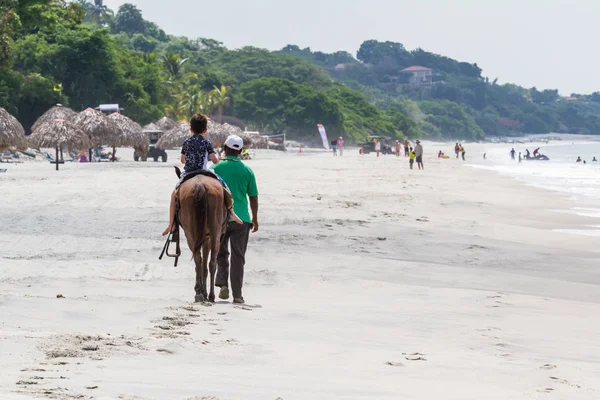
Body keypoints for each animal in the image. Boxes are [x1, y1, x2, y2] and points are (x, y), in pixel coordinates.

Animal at [178, 173, 227, 302]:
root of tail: (200, 185)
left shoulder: (205, 238)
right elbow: (205, 264)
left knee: (198, 259)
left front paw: (202, 291)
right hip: (215, 230)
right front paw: (204, 292)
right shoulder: (207, 239)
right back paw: (209, 295)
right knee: (211, 262)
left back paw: (199, 293)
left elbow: (202, 264)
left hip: (191, 232)